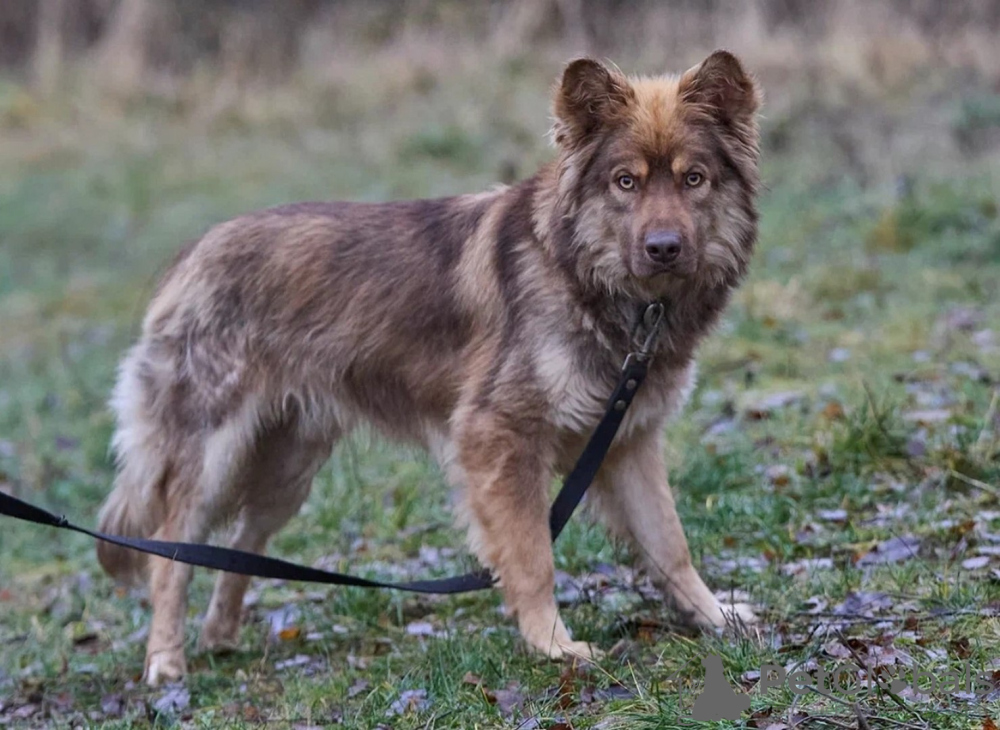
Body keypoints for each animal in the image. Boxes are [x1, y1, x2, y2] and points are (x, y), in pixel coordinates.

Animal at [96, 50, 762, 686]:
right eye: (625, 182)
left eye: (694, 179)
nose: (664, 248)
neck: (588, 278)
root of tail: (189, 256)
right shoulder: (498, 437)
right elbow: (532, 556)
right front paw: (553, 645)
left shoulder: (626, 442)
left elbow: (670, 544)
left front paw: (713, 615)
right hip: (212, 457)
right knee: (169, 554)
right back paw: (166, 662)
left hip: (286, 472)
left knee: (238, 549)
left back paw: (220, 635)